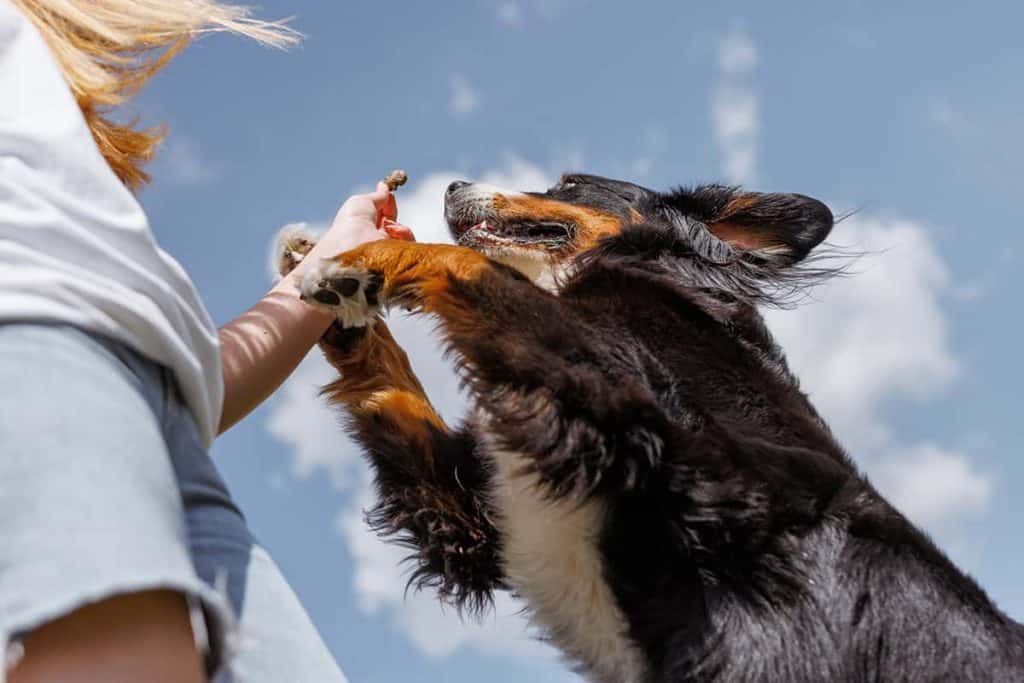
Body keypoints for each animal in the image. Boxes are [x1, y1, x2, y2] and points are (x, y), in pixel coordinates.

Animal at [274, 176, 1024, 683]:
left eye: (570, 183)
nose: (455, 183)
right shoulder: (483, 514)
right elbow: (395, 388)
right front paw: (334, 292)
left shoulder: (617, 406)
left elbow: (469, 265)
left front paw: (360, 260)